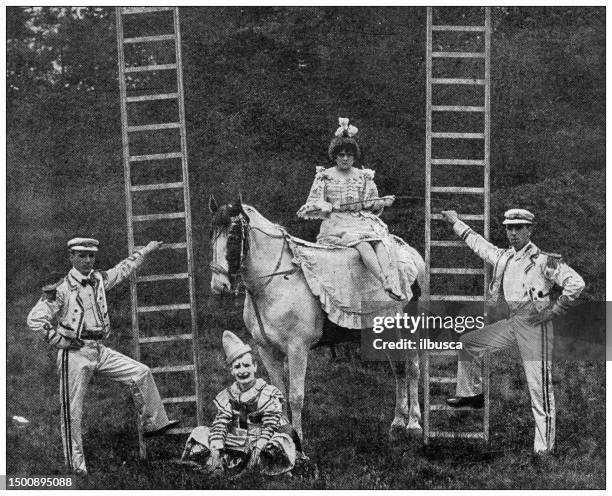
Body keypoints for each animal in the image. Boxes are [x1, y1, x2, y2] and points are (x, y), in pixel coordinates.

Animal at [209, 196, 426, 452]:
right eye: (212, 235)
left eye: (233, 236)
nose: (219, 285)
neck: (277, 282)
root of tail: (409, 252)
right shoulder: (266, 350)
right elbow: (277, 393)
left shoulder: (297, 349)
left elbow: (295, 396)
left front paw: (298, 443)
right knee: (399, 369)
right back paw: (397, 424)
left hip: (410, 330)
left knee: (413, 369)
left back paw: (413, 424)